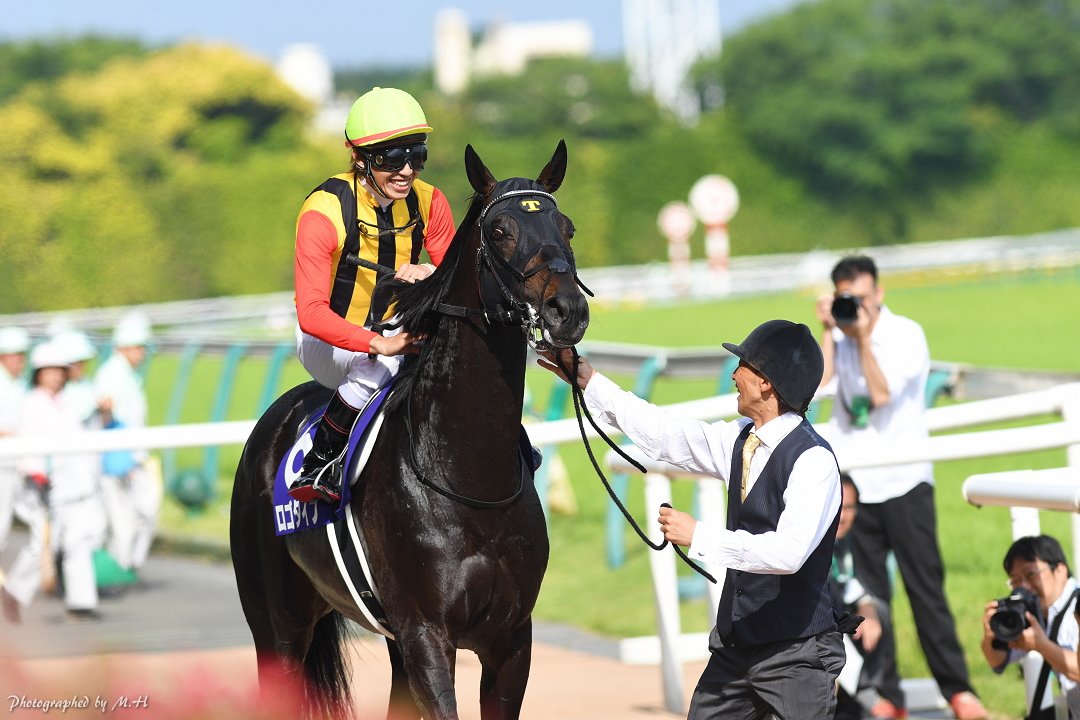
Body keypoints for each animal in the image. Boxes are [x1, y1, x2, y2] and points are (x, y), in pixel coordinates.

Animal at [230, 140, 590, 720]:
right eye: (500, 231)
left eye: (568, 227)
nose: (568, 310)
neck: (469, 478)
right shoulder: (426, 636)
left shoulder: (511, 639)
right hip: (275, 626)